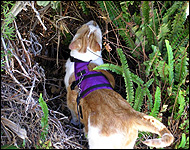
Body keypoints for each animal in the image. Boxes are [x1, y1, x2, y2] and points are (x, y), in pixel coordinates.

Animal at [64, 20, 174, 148]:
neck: (85, 61)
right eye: (87, 27)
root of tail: (130, 114)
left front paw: (74, 122)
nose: (94, 22)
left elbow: (74, 114)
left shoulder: (71, 98)